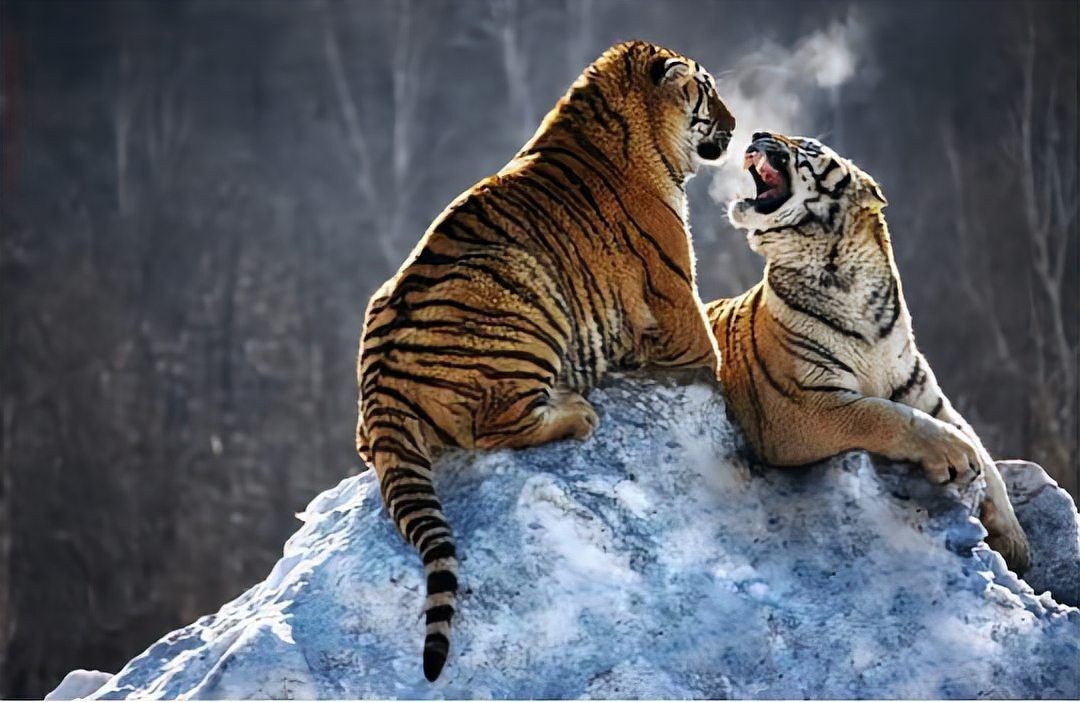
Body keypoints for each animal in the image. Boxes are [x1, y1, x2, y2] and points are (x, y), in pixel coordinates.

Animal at [356, 40, 735, 681]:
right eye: (707, 92)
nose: (736, 128)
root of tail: (380, 393)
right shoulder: (686, 325)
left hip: (382, 302)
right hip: (521, 283)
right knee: (494, 428)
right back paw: (577, 411)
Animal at [706, 131, 1030, 573]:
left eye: (807, 146)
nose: (756, 134)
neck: (849, 285)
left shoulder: (923, 394)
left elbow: (983, 452)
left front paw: (1016, 543)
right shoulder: (802, 406)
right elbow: (884, 415)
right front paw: (954, 454)